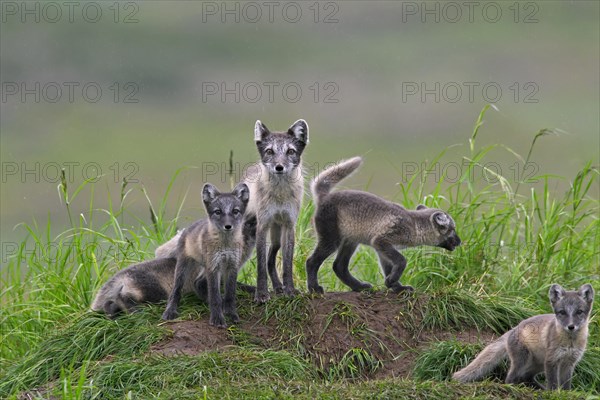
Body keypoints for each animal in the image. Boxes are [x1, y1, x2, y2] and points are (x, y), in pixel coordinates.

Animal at [245, 119, 310, 304]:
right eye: (269, 151)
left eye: (290, 151)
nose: (279, 167)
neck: (280, 196)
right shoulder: (262, 226)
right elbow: (260, 265)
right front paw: (261, 294)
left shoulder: (289, 226)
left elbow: (287, 264)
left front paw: (290, 290)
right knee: (265, 260)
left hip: (277, 237)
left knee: (270, 259)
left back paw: (278, 287)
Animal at [454, 282, 596, 390]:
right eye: (562, 312)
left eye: (579, 312)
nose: (571, 327)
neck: (570, 342)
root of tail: (514, 328)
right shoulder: (552, 360)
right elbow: (553, 383)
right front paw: (553, 393)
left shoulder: (570, 362)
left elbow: (566, 386)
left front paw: (564, 394)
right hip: (523, 360)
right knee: (510, 378)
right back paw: (512, 388)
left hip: (538, 364)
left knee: (526, 377)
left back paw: (538, 389)